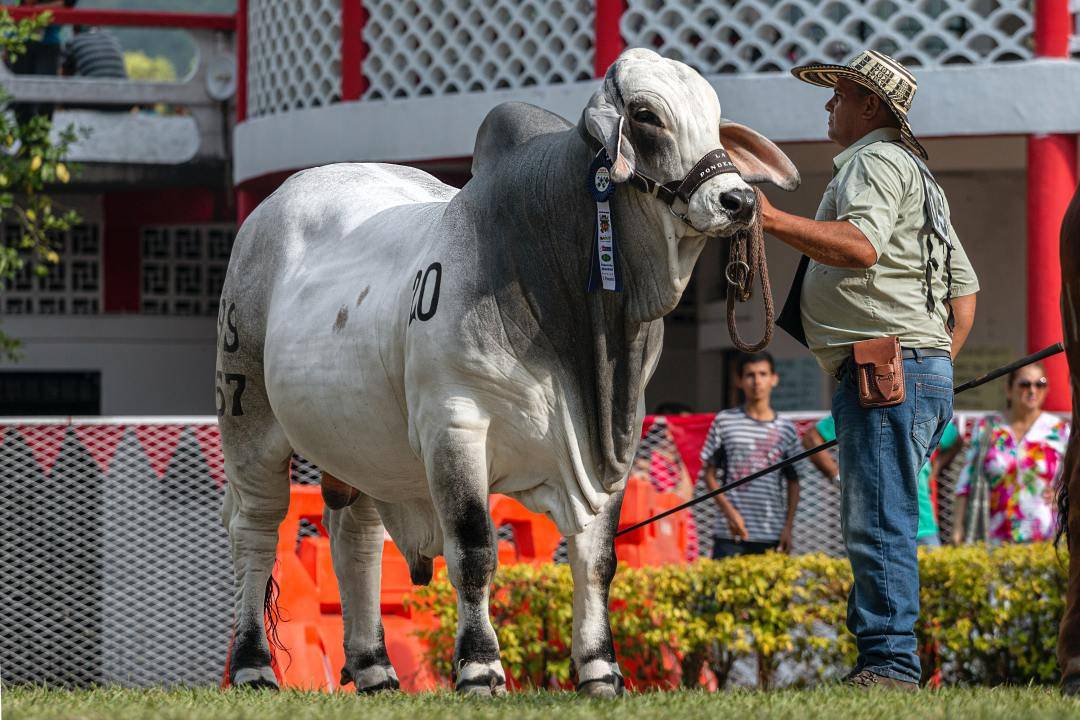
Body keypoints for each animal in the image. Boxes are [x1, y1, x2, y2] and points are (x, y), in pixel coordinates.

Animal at [219, 47, 799, 695]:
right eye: (648, 116)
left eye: (716, 119)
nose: (739, 201)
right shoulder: (455, 425)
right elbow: (474, 550)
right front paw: (479, 666)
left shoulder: (615, 445)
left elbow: (597, 559)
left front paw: (601, 670)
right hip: (247, 417)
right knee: (256, 532)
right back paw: (253, 666)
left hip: (364, 446)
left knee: (355, 539)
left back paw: (374, 669)